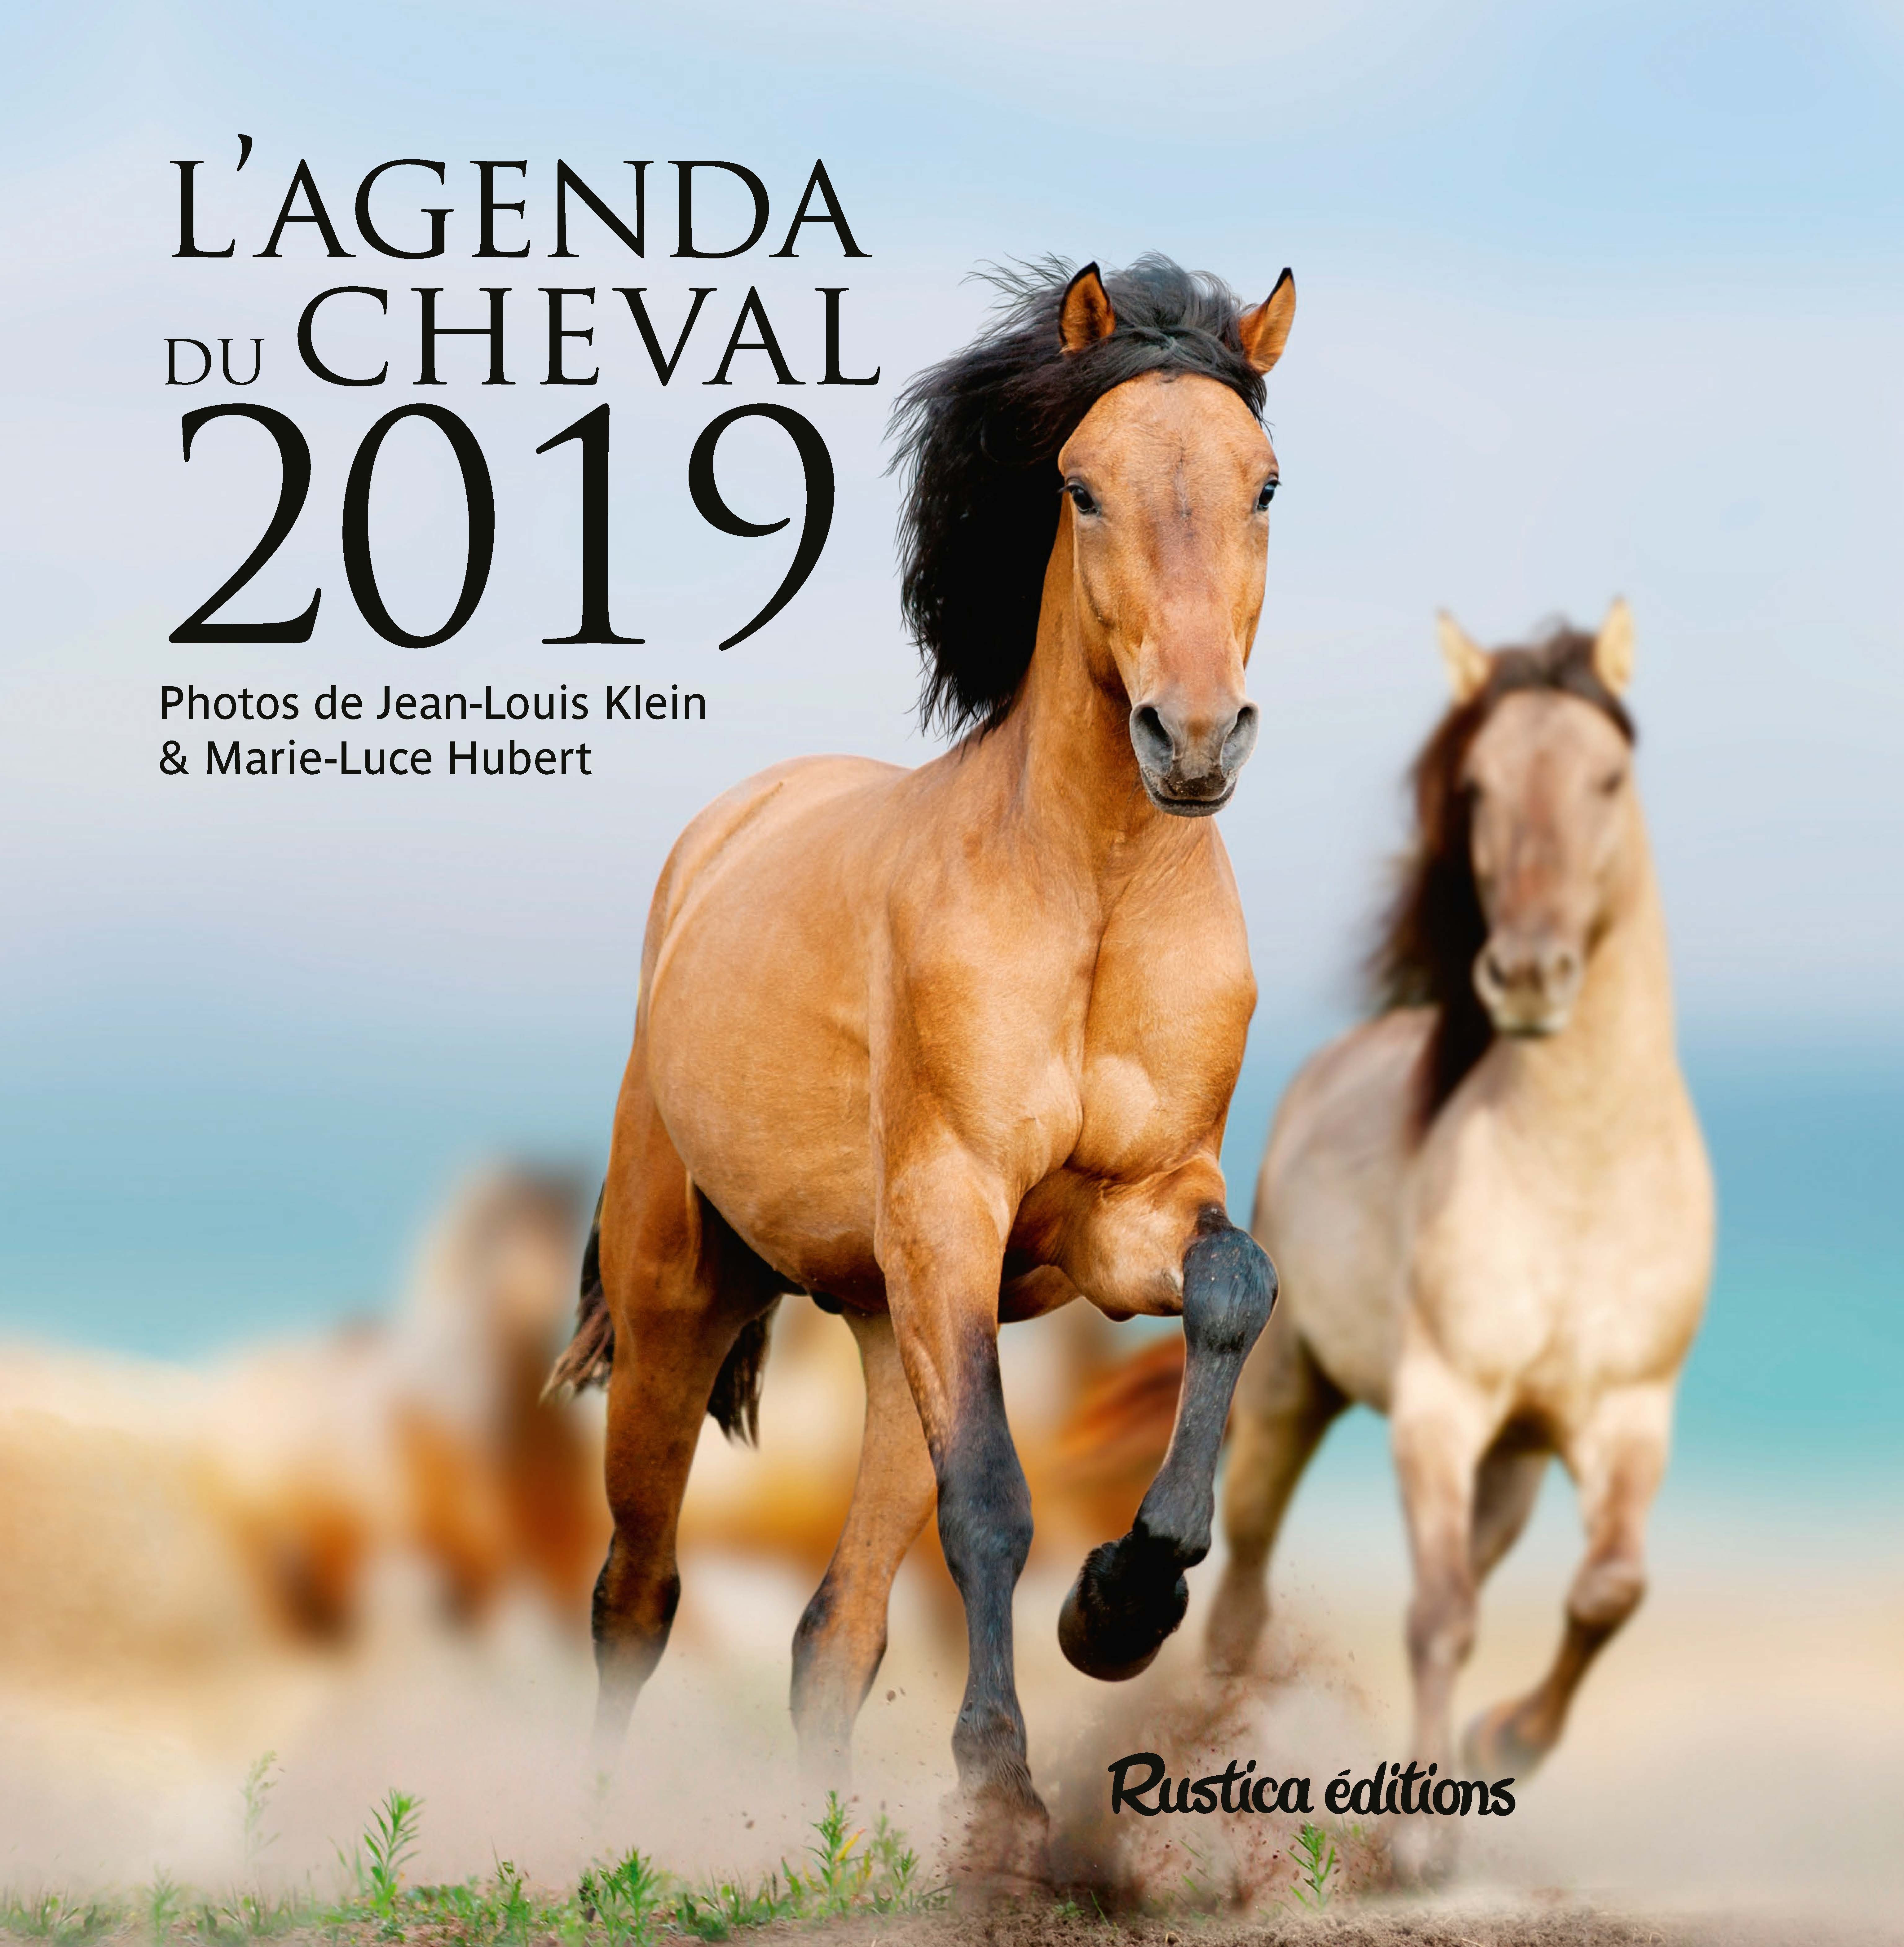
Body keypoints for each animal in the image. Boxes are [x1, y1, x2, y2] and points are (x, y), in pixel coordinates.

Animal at [548, 253, 1297, 1882]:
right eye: (1080, 486)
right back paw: (586, 1841)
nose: (1195, 740)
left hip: (893, 1325)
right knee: (636, 1591)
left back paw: (821, 1852)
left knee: (832, 1631)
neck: (1089, 892)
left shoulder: (1128, 1215)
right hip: (681, 1304)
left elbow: (1232, 1287)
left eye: (1265, 482)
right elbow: (994, 1506)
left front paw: (1123, 1601)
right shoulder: (953, 1205)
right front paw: (1003, 1792)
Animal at [1204, 603, 1713, 1879]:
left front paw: (1502, 1745)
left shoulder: (1625, 1416)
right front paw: (1417, 1843)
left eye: (1607, 776)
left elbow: (1605, 1592)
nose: (1527, 974)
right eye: (1476, 786)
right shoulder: (1437, 1407)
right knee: (1242, 1582)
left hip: (1514, 1469)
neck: (1577, 1170)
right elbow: (1434, 1615)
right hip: (1290, 1395)